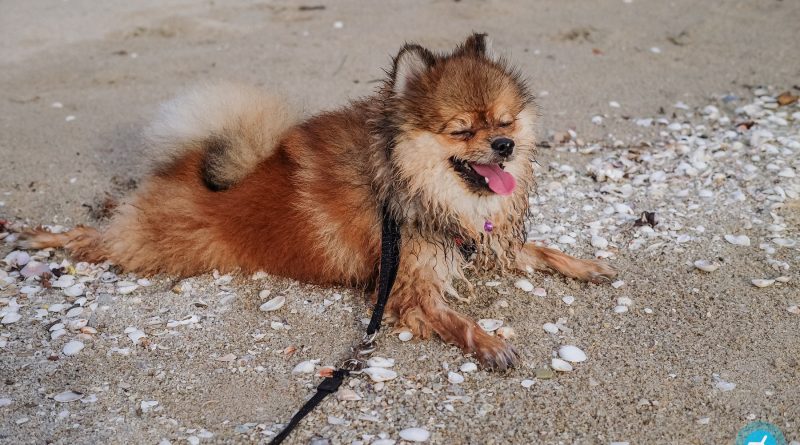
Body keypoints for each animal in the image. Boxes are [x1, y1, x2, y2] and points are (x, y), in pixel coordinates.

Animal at [20, 33, 620, 368]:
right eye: (462, 130)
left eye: (505, 121)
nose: (504, 146)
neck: (407, 182)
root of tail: (187, 164)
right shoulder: (408, 289)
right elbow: (457, 320)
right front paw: (491, 344)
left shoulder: (474, 242)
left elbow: (538, 251)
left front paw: (588, 266)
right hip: (153, 246)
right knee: (94, 239)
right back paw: (38, 236)